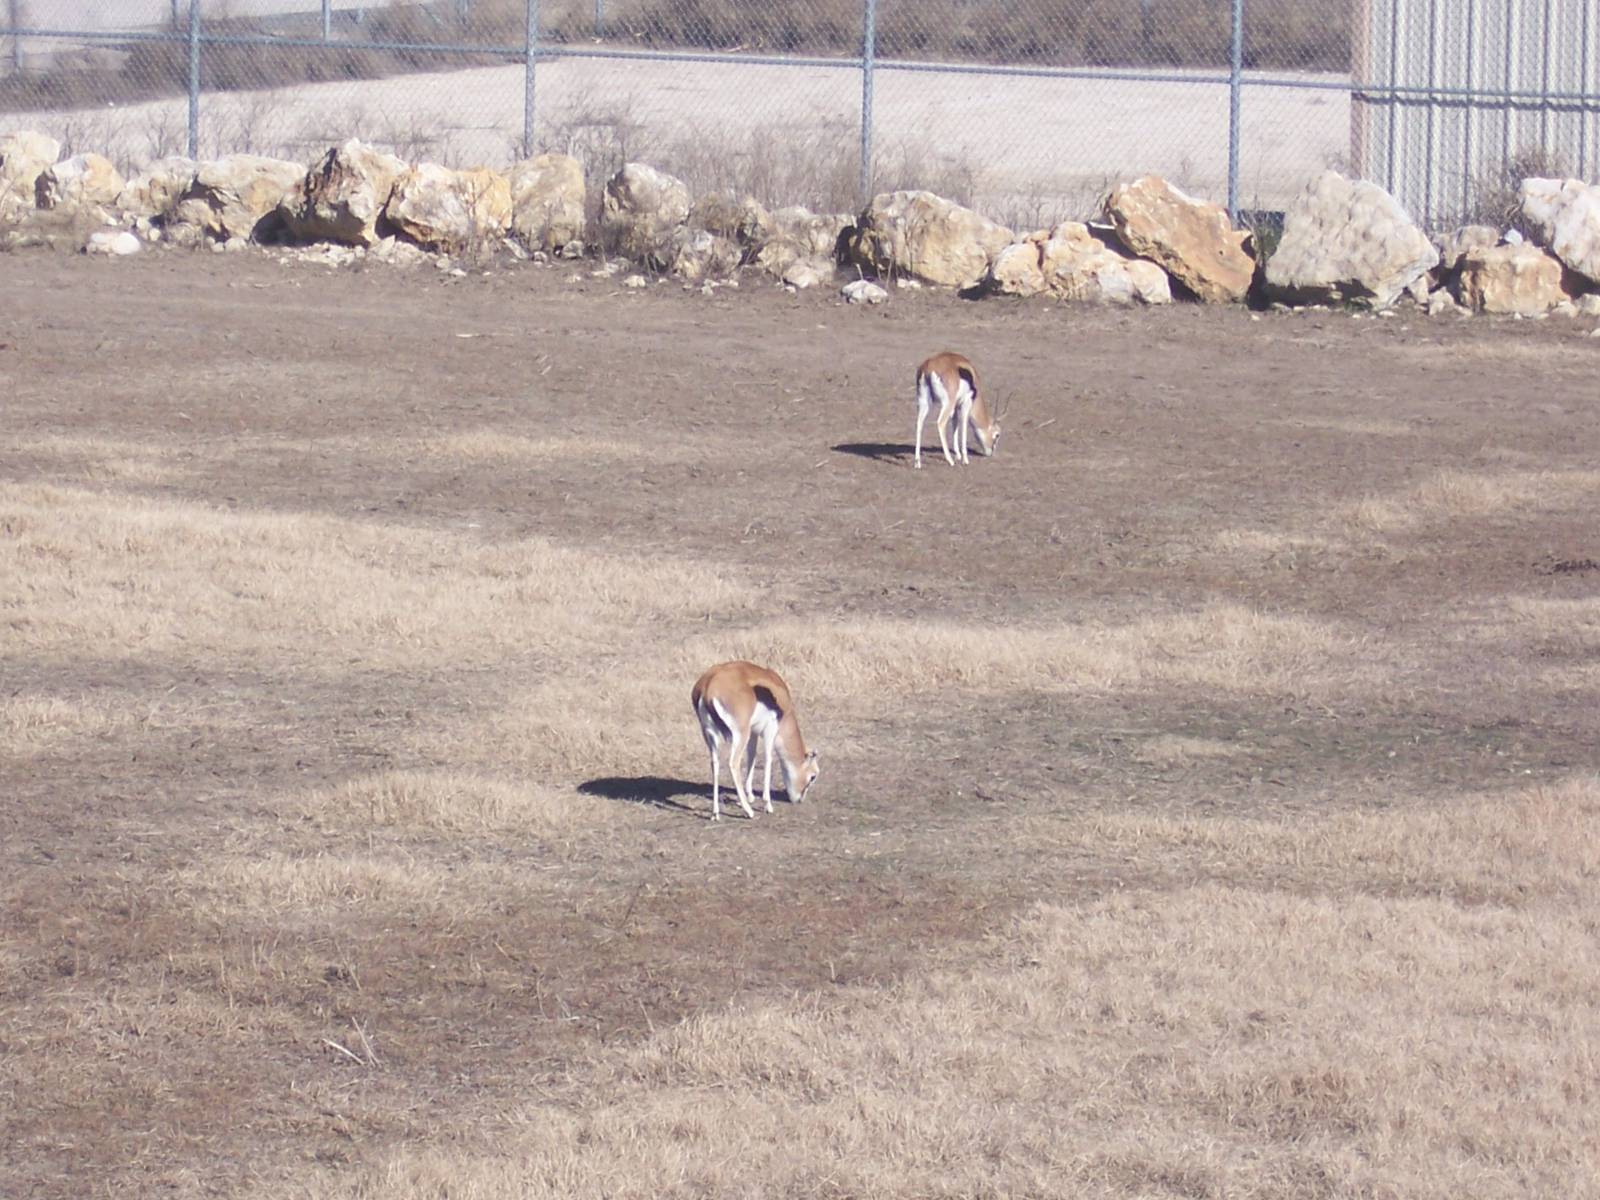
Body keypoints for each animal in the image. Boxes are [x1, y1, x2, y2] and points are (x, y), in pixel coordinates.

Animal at [691, 660, 820, 821]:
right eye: (813, 777)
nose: (799, 800)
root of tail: (707, 687)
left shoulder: (753, 732)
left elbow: (752, 756)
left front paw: (750, 796)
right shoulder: (770, 729)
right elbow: (768, 760)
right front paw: (767, 805)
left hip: (710, 736)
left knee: (715, 764)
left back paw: (715, 813)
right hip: (740, 734)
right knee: (733, 763)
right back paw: (749, 812)